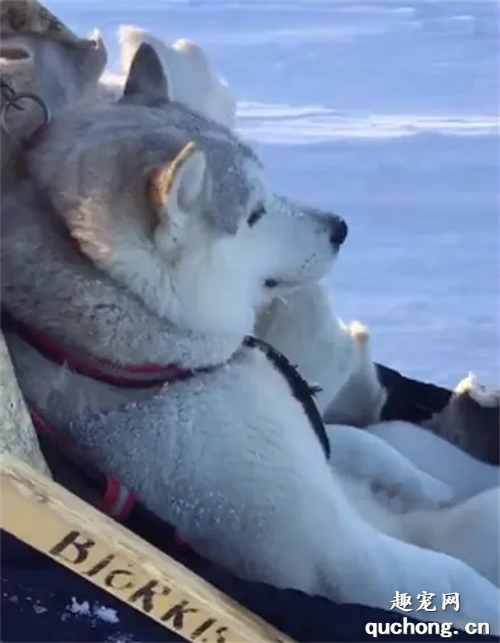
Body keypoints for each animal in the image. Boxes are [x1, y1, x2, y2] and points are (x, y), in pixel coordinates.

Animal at [1, 46, 498, 632]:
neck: (151, 369)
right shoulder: (332, 553)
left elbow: (361, 445)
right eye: (254, 213)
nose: (341, 227)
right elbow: (450, 578)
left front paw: (422, 484)